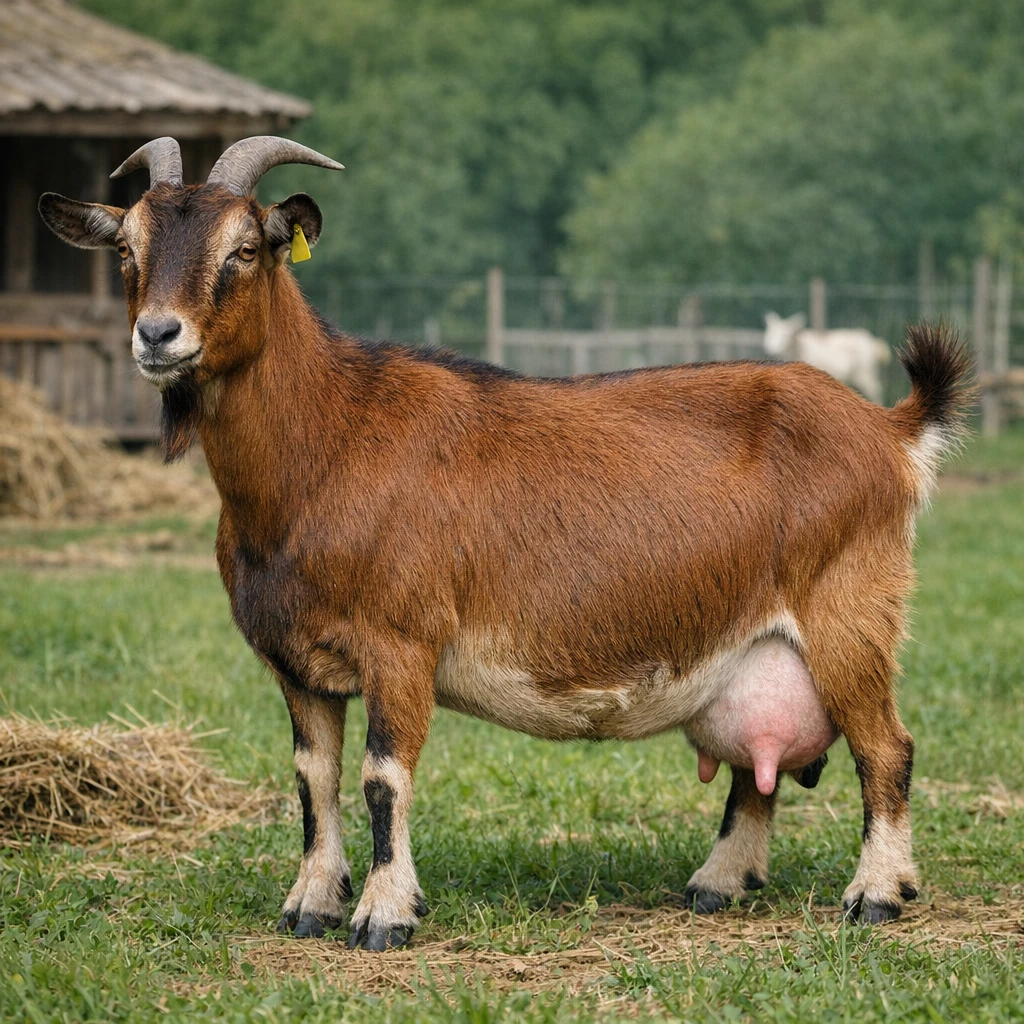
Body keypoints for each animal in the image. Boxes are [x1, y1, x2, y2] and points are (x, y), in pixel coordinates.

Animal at [764, 311, 892, 404]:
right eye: (770, 332)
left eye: (785, 334)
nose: (771, 348)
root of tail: (874, 344)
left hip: (865, 372)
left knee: (876, 390)